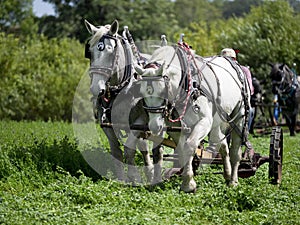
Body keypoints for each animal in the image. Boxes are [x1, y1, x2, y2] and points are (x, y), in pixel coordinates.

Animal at [84, 19, 164, 185]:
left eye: (110, 50)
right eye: (90, 51)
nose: (96, 89)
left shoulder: (139, 122)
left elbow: (129, 150)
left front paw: (134, 178)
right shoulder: (107, 124)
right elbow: (116, 152)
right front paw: (121, 180)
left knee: (157, 149)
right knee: (145, 147)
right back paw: (149, 173)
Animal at [137, 44, 251, 192]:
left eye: (162, 92)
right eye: (141, 92)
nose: (155, 126)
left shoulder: (204, 122)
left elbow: (190, 146)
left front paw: (188, 184)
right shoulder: (176, 128)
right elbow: (181, 150)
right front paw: (188, 180)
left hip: (240, 116)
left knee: (235, 151)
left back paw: (233, 181)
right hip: (217, 122)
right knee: (222, 145)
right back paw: (227, 174)